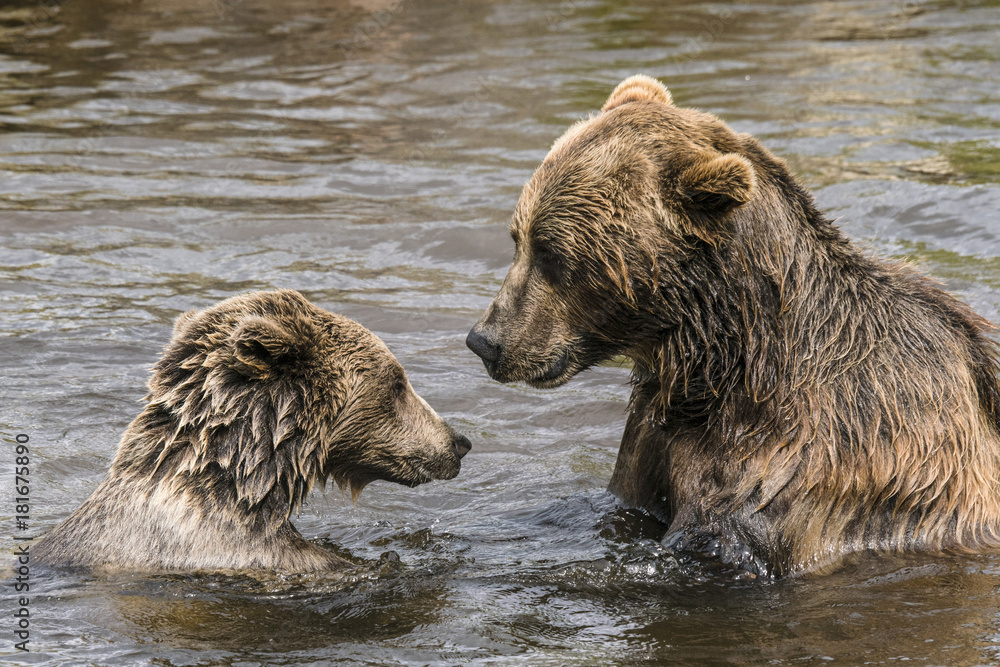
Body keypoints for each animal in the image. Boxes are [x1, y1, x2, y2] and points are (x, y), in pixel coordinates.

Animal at [466, 74, 1000, 577]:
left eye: (553, 254)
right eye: (518, 238)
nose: (484, 341)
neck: (724, 364)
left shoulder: (798, 466)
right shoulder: (652, 446)